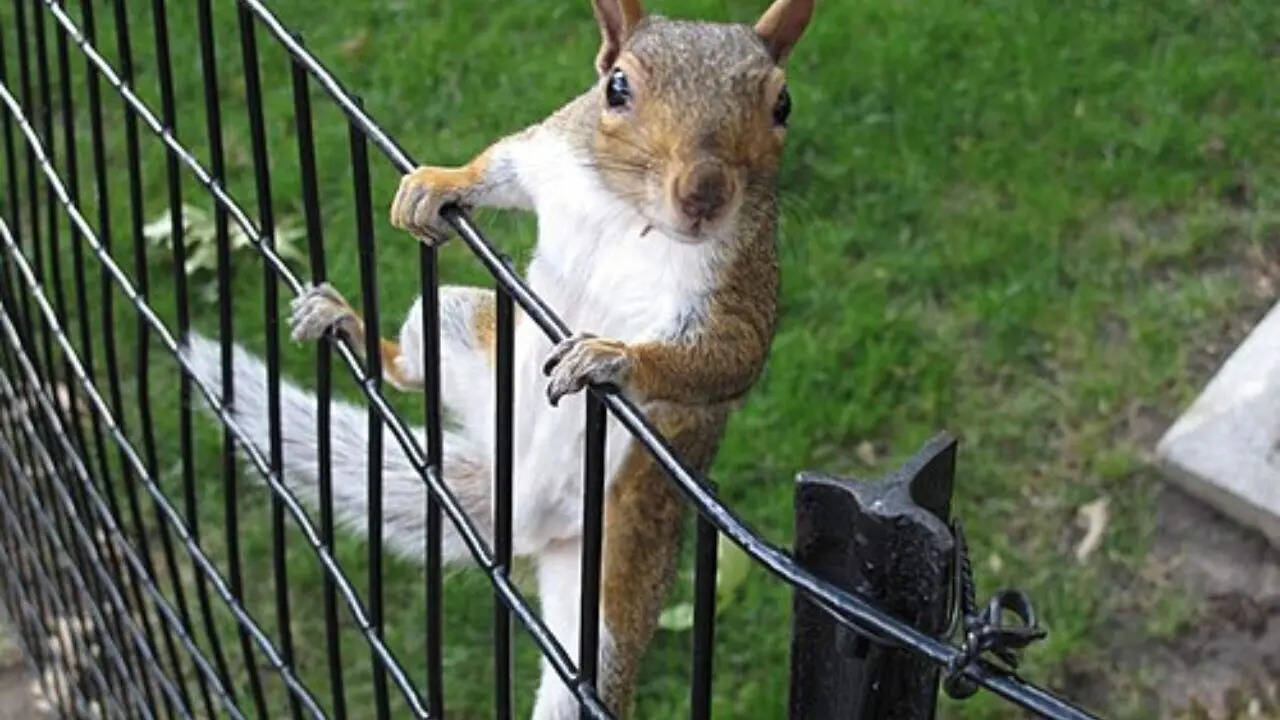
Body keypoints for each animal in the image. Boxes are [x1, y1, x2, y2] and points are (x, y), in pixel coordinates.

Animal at [184, 0, 812, 716]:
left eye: (783, 104)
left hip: (612, 580)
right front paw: (436, 184)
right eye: (616, 88)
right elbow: (504, 162)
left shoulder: (739, 287)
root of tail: (516, 513)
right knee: (411, 368)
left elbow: (729, 358)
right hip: (453, 320)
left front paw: (612, 356)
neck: (632, 215)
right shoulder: (555, 154)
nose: (704, 193)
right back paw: (345, 323)